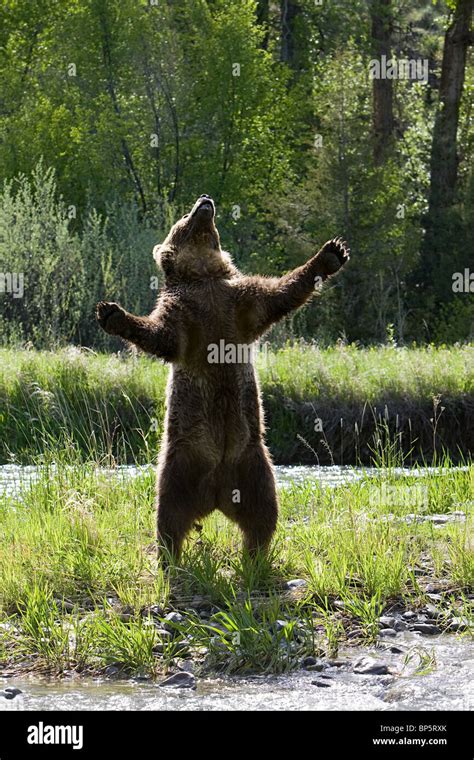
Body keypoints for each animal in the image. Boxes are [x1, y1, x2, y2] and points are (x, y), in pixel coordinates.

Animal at [95, 196, 348, 560]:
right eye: (184, 214)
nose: (204, 200)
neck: (204, 277)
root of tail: (216, 493)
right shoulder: (184, 313)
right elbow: (163, 337)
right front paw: (112, 313)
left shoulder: (239, 300)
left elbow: (280, 294)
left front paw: (331, 254)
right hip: (178, 463)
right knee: (168, 515)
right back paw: (170, 557)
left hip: (254, 463)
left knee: (263, 513)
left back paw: (255, 554)